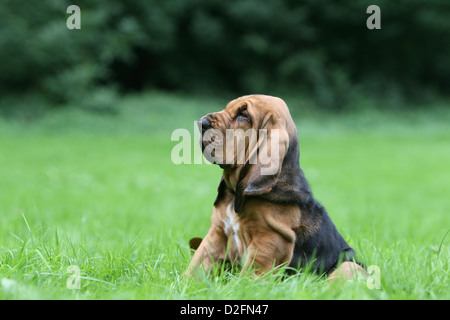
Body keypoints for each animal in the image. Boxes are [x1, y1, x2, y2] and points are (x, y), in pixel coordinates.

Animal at [185, 95, 364, 280]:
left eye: (244, 115)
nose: (201, 122)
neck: (236, 193)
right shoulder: (217, 233)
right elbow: (198, 263)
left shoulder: (270, 239)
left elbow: (250, 273)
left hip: (348, 265)